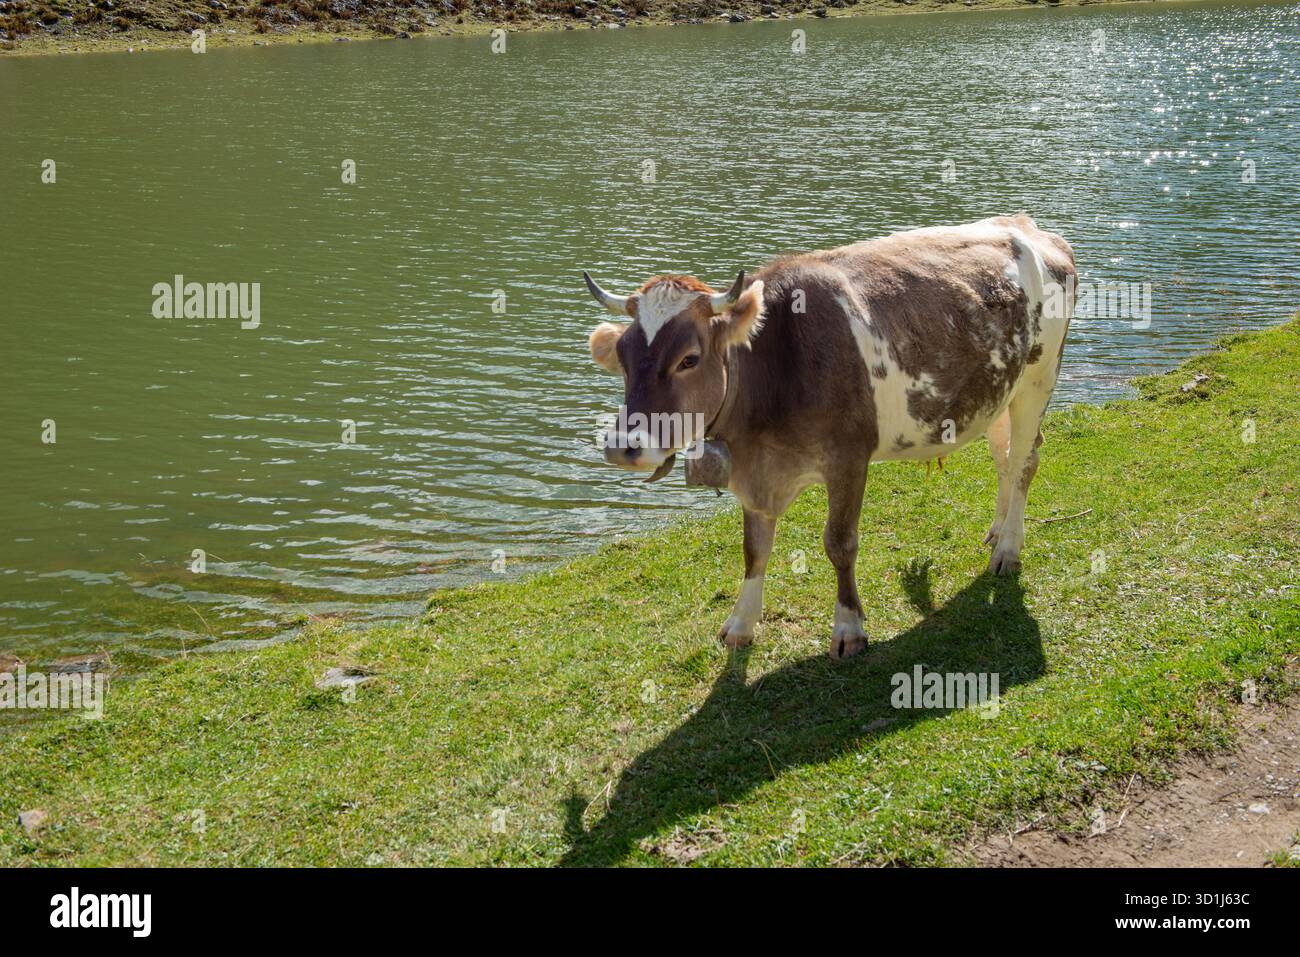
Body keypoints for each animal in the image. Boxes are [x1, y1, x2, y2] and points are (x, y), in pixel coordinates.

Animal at [583, 214, 1075, 659]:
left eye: (689, 358)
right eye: (624, 357)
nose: (623, 446)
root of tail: (1026, 225)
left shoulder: (850, 458)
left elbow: (840, 543)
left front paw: (849, 628)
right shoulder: (755, 473)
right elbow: (754, 549)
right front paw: (741, 623)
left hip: (1038, 378)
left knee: (1024, 461)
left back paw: (1008, 549)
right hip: (998, 392)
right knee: (1005, 457)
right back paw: (997, 530)